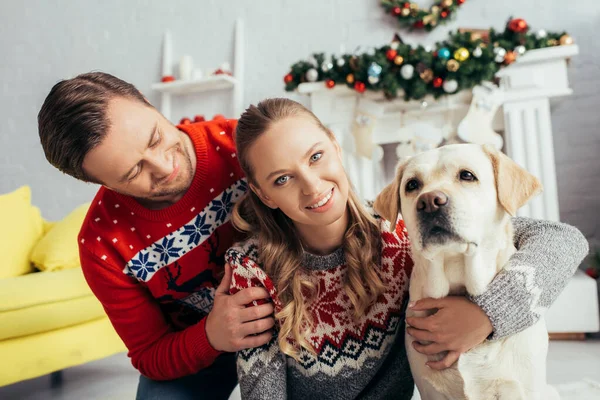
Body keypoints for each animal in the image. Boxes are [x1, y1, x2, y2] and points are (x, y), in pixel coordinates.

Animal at [372, 144, 560, 400]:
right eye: (412, 184)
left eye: (467, 175)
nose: (429, 201)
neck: (458, 276)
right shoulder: (431, 391)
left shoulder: (523, 389)